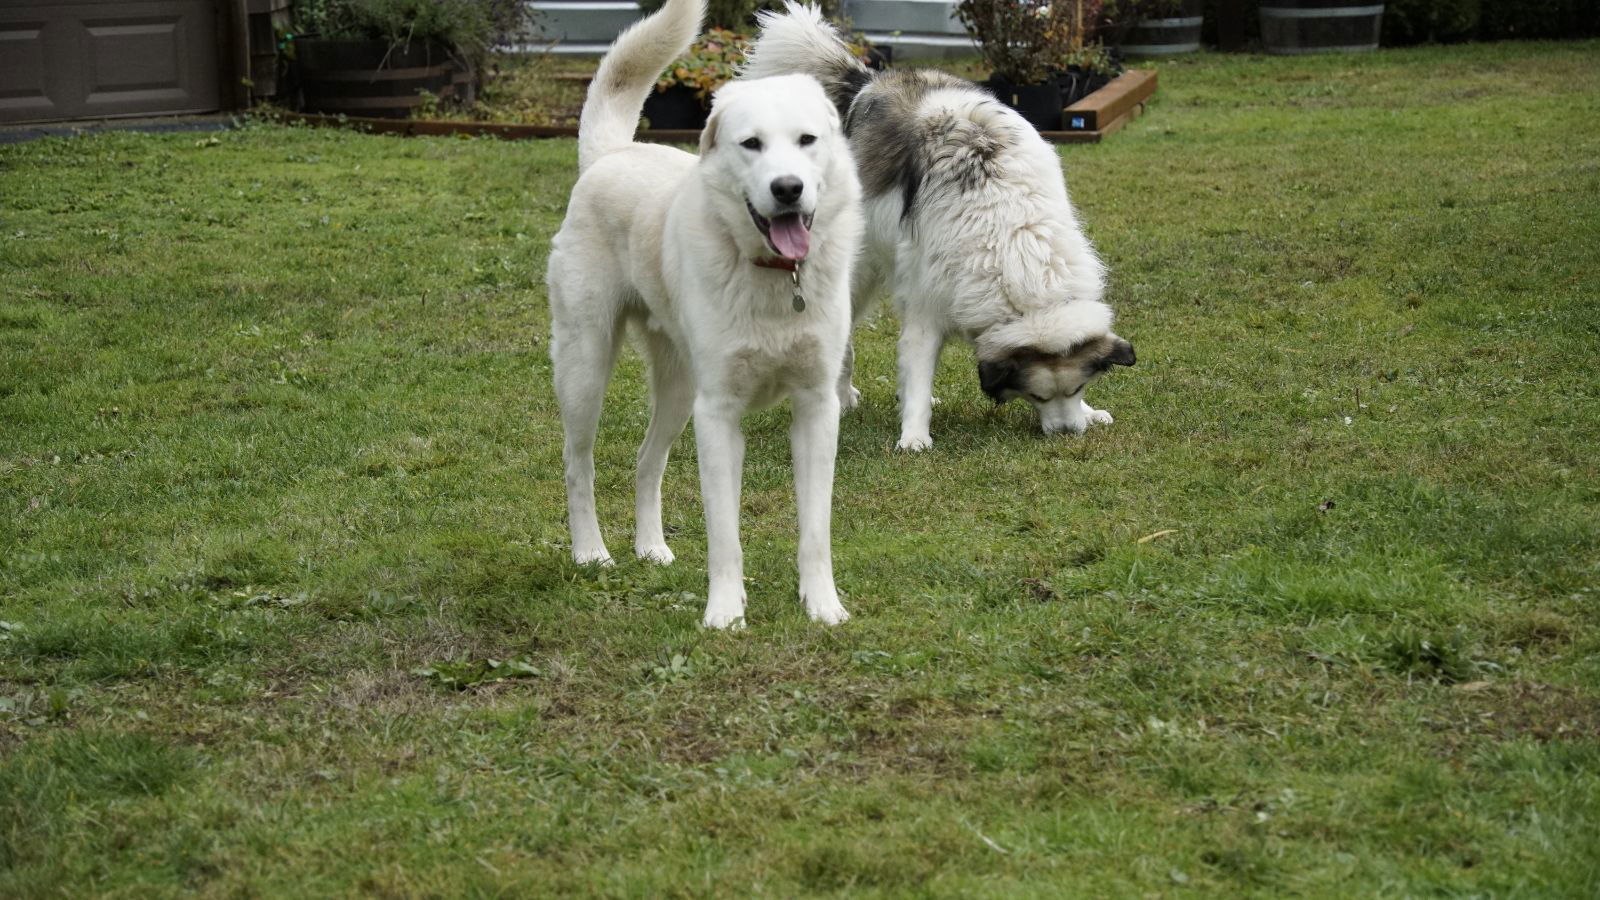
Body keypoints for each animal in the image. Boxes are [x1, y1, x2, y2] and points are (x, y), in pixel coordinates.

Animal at [547, 0, 864, 624]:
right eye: (751, 144)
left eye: (807, 140)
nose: (788, 188)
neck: (775, 277)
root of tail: (612, 154)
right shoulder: (718, 414)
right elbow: (725, 534)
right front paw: (724, 614)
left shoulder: (817, 408)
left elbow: (815, 530)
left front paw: (823, 608)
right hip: (585, 370)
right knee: (579, 463)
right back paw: (591, 553)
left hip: (676, 390)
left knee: (647, 462)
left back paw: (650, 547)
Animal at [748, 2, 1139, 445]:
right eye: (1037, 396)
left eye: (1078, 388)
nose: (1067, 433)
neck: (1014, 242)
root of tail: (871, 81)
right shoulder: (926, 303)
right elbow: (917, 370)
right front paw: (914, 436)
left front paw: (1090, 413)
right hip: (858, 271)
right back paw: (843, 397)